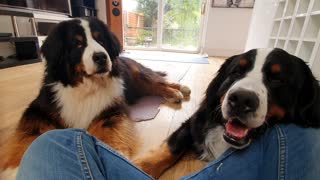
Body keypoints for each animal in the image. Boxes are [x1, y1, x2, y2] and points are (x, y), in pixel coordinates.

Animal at [0, 17, 190, 179]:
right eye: (77, 43)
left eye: (101, 41)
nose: (101, 57)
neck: (87, 86)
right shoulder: (38, 110)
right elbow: (29, 135)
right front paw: (14, 168)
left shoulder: (110, 111)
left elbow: (108, 133)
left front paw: (114, 155)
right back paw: (179, 90)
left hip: (138, 78)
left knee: (159, 83)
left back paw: (178, 91)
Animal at [135, 48, 320, 179]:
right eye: (236, 72)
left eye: (278, 79)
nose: (241, 99)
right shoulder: (196, 121)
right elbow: (172, 147)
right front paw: (143, 166)